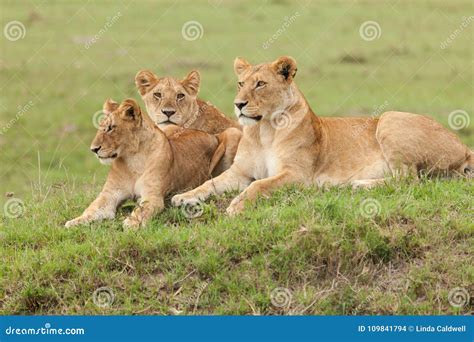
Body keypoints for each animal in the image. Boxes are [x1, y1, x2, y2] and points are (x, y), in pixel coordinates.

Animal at [64, 97, 239, 228]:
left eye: (111, 128)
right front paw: (74, 221)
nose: (94, 149)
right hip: (169, 129)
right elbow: (92, 208)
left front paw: (132, 222)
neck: (132, 159)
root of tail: (208, 133)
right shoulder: (110, 194)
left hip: (232, 133)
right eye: (100, 127)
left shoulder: (153, 196)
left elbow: (141, 210)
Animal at [172, 56, 472, 216]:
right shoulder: (240, 172)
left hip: (390, 120)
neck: (263, 131)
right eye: (240, 83)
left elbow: (258, 186)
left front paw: (236, 206)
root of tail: (464, 147)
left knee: (410, 179)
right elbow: (210, 184)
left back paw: (359, 184)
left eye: (260, 84)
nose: (238, 104)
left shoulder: (297, 175)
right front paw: (184, 197)